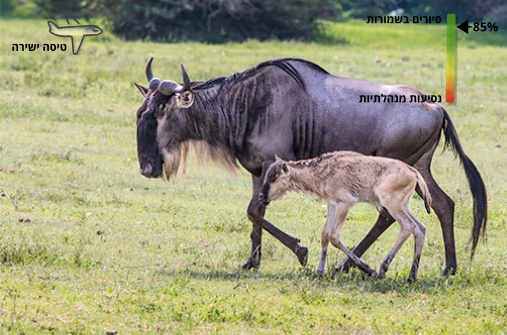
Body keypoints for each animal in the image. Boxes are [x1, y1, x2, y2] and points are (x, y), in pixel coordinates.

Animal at [258, 152, 432, 280]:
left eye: (273, 177)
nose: (261, 196)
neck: (323, 171)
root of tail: (413, 172)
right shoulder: (332, 205)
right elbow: (324, 235)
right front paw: (320, 271)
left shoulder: (345, 204)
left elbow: (334, 236)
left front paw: (368, 269)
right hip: (402, 205)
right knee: (420, 228)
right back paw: (412, 276)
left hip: (391, 204)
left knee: (408, 226)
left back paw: (383, 269)